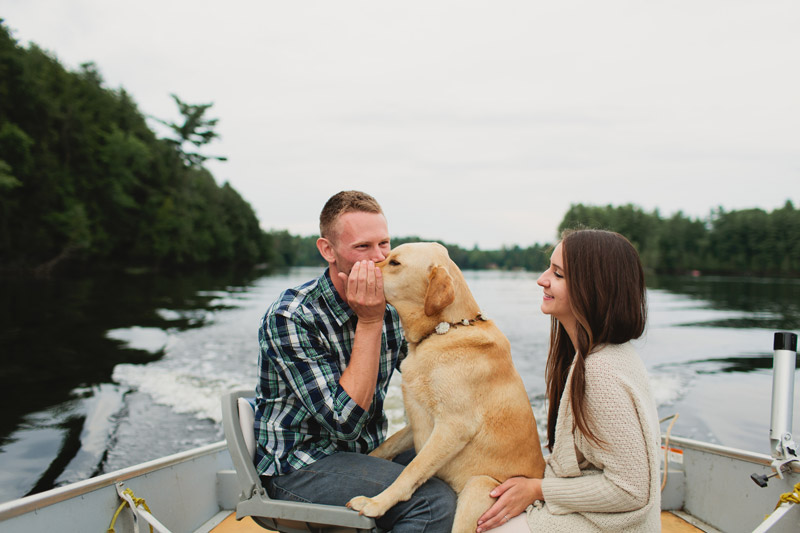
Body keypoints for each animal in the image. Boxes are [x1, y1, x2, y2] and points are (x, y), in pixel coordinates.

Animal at [346, 242, 548, 532]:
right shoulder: (418, 420)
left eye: (394, 262)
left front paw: (376, 503)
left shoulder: (453, 426)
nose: (358, 269)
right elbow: (387, 447)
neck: (447, 330)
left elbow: (413, 469)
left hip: (479, 487)